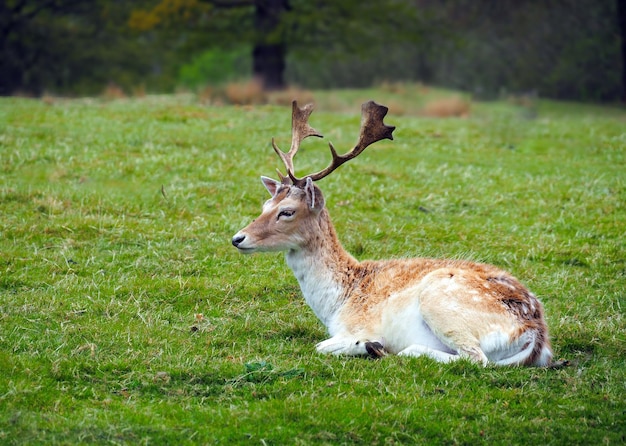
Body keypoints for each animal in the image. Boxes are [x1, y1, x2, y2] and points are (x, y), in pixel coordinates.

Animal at [230, 101, 552, 366]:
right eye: (265, 205)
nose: (237, 238)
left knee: (474, 358)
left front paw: (364, 344)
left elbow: (321, 346)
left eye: (287, 211)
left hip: (440, 302)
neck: (338, 303)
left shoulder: (357, 325)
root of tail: (536, 336)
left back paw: (380, 348)